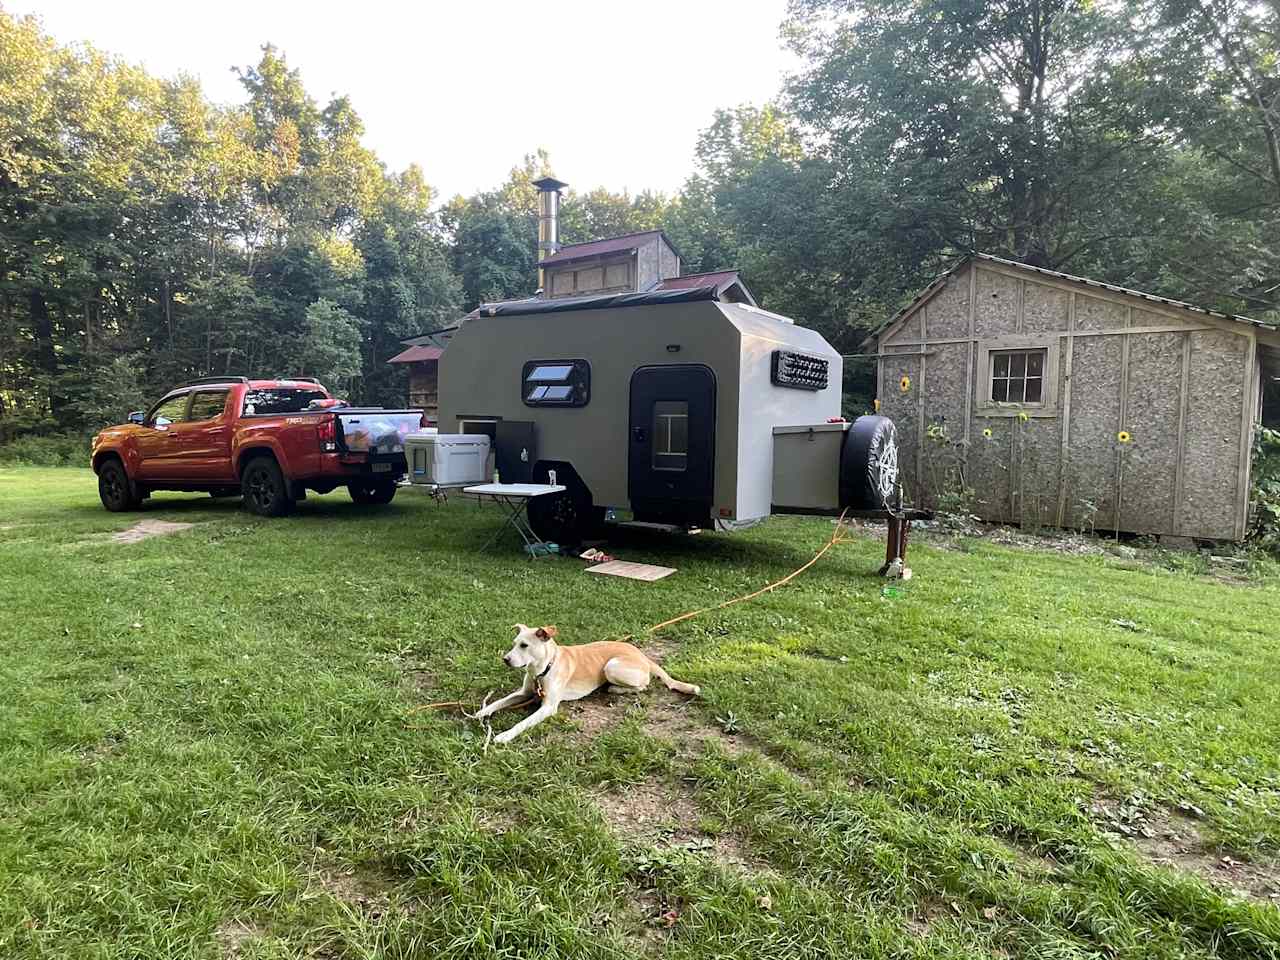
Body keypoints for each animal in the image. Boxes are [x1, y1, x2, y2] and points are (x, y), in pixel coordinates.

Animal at [478, 624, 706, 742]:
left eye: (524, 645)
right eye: (514, 644)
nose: (505, 659)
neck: (542, 669)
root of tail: (642, 655)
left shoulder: (548, 707)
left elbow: (522, 723)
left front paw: (504, 735)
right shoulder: (523, 693)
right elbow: (499, 702)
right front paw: (481, 712)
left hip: (611, 666)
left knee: (643, 685)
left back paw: (614, 688)